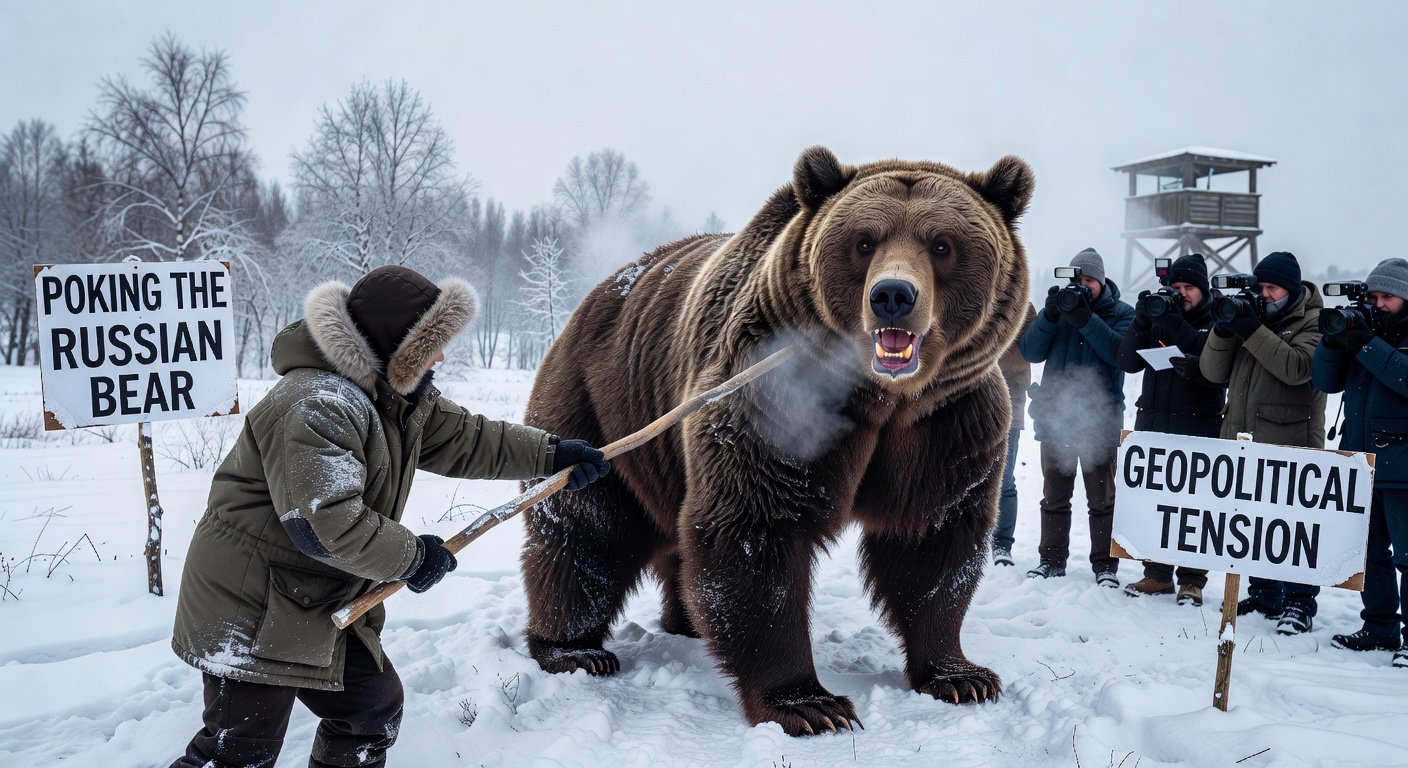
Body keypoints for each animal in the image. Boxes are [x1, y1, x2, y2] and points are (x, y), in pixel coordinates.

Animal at [520, 146, 1034, 736]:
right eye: (864, 241)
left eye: (942, 244)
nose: (892, 296)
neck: (880, 398)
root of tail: (595, 295)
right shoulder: (771, 400)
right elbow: (756, 531)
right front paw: (809, 703)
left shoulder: (946, 422)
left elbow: (932, 536)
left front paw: (961, 676)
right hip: (601, 408)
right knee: (585, 526)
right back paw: (575, 649)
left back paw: (684, 623)